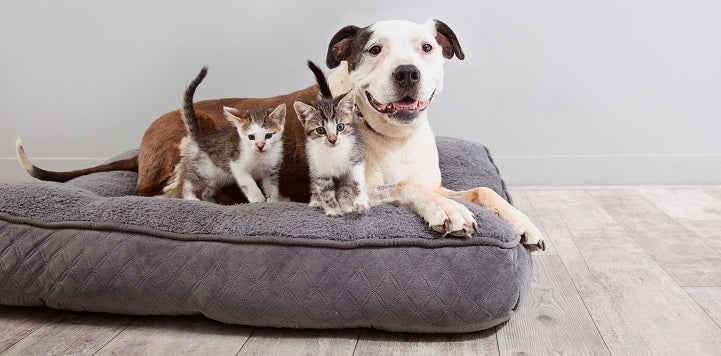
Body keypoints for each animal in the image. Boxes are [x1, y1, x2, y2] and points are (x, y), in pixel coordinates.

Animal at [177, 66, 284, 203]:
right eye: (251, 137)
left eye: (268, 135)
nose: (260, 146)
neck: (261, 156)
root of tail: (199, 137)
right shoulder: (237, 165)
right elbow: (249, 183)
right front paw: (257, 199)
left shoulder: (270, 170)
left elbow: (272, 188)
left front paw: (273, 201)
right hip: (203, 170)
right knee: (188, 183)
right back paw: (191, 198)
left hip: (217, 177)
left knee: (207, 191)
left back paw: (213, 202)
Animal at [294, 60, 372, 217]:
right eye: (320, 130)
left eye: (340, 127)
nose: (332, 140)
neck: (334, 152)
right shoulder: (320, 171)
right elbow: (326, 192)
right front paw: (334, 210)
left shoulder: (355, 160)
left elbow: (356, 183)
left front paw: (357, 203)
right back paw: (316, 201)